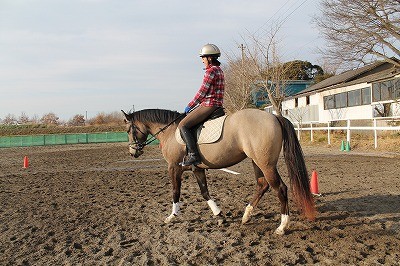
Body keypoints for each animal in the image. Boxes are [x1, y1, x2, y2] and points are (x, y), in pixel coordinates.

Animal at [122, 108, 316, 235]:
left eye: (129, 130)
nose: (133, 152)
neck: (170, 132)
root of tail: (274, 117)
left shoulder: (174, 167)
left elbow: (176, 192)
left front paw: (172, 216)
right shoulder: (197, 169)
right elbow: (204, 192)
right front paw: (219, 215)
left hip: (265, 163)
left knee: (280, 188)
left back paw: (282, 226)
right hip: (256, 162)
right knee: (262, 185)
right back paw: (246, 216)